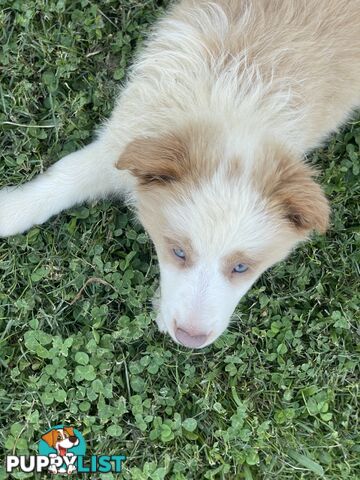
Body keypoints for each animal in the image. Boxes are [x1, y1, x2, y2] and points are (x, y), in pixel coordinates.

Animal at [0, 1, 360, 350]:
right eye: (178, 252)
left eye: (241, 267)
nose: (190, 338)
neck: (230, 105)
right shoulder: (130, 134)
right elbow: (66, 175)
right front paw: (10, 211)